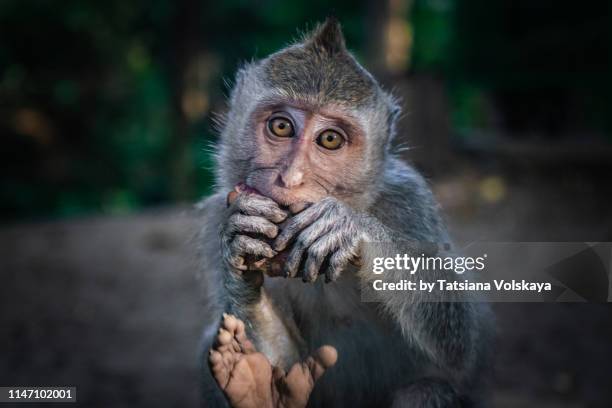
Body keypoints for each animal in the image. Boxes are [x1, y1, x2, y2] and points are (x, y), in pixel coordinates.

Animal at [198, 18, 494, 408]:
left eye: (330, 139)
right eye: (281, 126)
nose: (290, 178)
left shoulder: (410, 201)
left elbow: (459, 345)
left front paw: (346, 227)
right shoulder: (220, 213)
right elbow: (291, 367)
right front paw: (255, 377)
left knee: (427, 390)